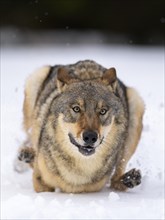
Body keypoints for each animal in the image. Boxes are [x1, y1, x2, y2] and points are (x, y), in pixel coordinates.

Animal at [15, 59, 144, 192]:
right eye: (76, 109)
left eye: (103, 111)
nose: (90, 137)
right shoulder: (40, 182)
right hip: (36, 79)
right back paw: (28, 154)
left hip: (136, 104)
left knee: (116, 180)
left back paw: (129, 179)